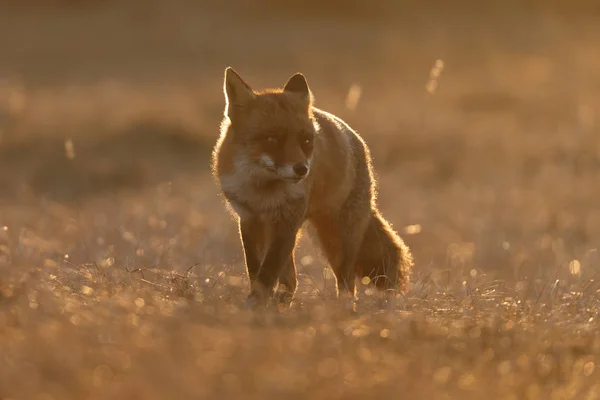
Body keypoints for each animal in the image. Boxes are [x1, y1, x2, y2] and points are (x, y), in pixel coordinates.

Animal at [211, 67, 412, 308]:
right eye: (272, 139)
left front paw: (255, 303)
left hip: (336, 238)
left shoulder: (286, 222)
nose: (302, 169)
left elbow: (268, 271)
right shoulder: (250, 220)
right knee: (292, 280)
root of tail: (356, 138)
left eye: (306, 141)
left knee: (347, 284)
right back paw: (283, 303)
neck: (263, 191)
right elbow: (256, 269)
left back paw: (342, 308)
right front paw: (259, 303)